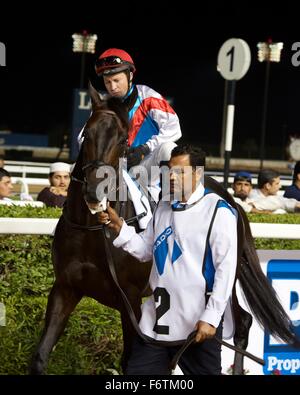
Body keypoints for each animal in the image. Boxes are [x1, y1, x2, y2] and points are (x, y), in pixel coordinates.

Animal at [29, 85, 298, 376]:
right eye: (86, 134)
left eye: (123, 141)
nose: (94, 192)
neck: (92, 230)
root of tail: (231, 199)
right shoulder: (65, 288)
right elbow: (41, 355)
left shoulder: (130, 299)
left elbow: (130, 361)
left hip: (225, 276)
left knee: (242, 322)